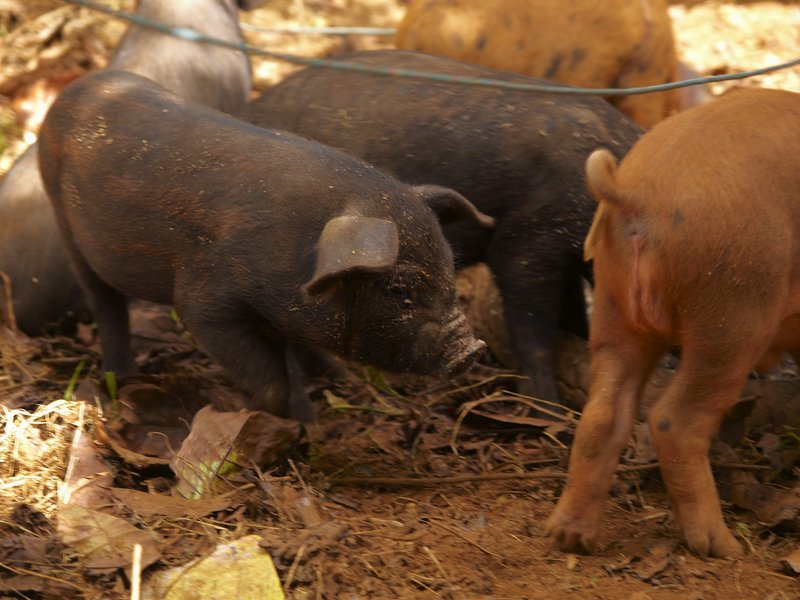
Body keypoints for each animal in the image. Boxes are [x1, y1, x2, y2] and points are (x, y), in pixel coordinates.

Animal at [38, 69, 491, 418]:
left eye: (450, 266)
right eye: (399, 289)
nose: (470, 349)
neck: (300, 254)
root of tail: (79, 86)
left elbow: (291, 358)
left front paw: (317, 407)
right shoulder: (206, 302)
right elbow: (268, 376)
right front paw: (243, 411)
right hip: (64, 222)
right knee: (107, 305)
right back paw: (122, 378)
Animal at [545, 87, 800, 558]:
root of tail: (637, 193)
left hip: (612, 304)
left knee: (602, 414)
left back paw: (571, 538)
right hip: (731, 312)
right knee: (673, 420)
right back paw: (720, 547)